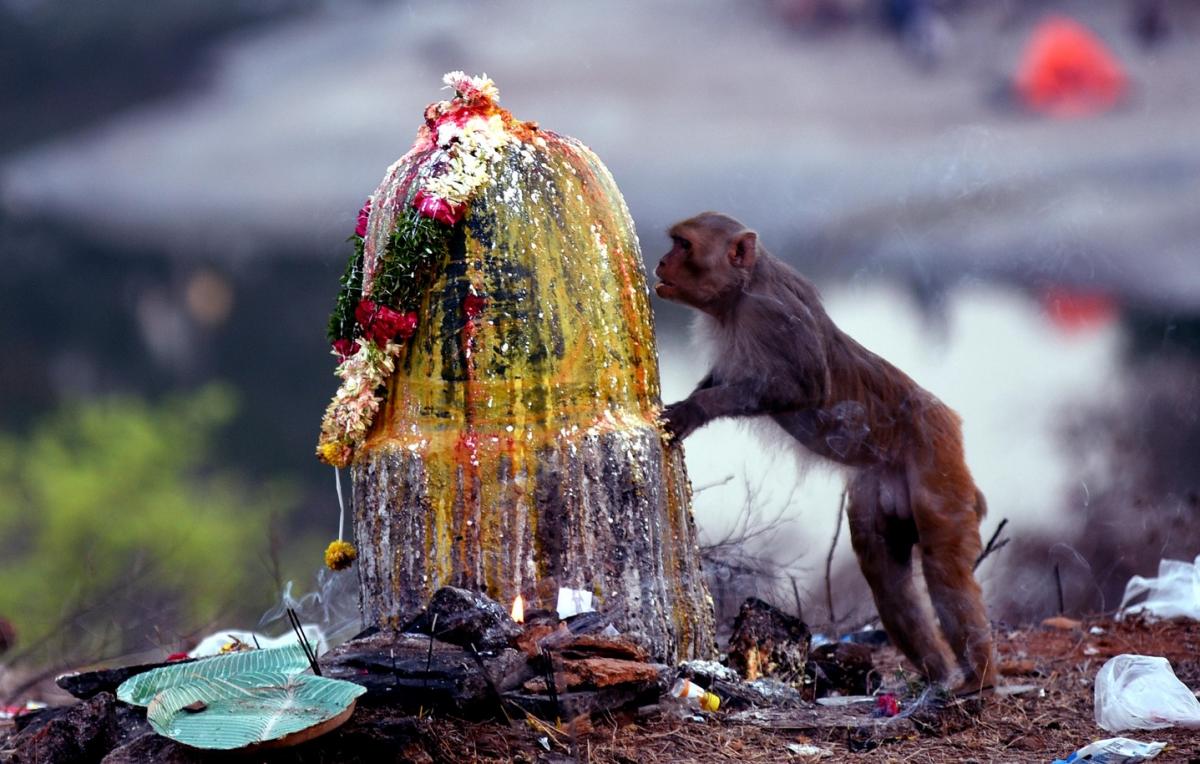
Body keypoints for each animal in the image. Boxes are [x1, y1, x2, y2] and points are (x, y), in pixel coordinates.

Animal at [652, 211, 998, 695]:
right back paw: (938, 674)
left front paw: (694, 410)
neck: (740, 294)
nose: (662, 261)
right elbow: (724, 377)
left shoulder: (773, 316)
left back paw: (979, 679)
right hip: (882, 488)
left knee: (943, 568)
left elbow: (806, 387)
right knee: (885, 573)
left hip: (938, 462)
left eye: (684, 245)